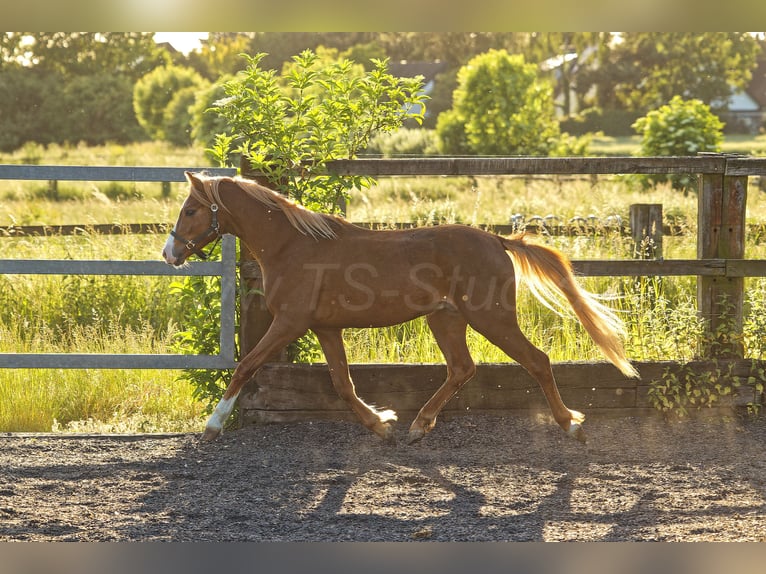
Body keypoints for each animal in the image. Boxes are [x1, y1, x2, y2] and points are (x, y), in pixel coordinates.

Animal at [164, 171, 640, 446]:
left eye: (190, 210)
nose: (169, 253)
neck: (292, 246)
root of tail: (496, 239)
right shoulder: (324, 328)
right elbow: (342, 384)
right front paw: (382, 424)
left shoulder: (289, 323)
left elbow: (246, 366)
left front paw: (212, 425)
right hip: (446, 318)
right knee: (462, 369)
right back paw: (419, 425)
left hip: (491, 317)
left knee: (537, 361)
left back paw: (571, 425)